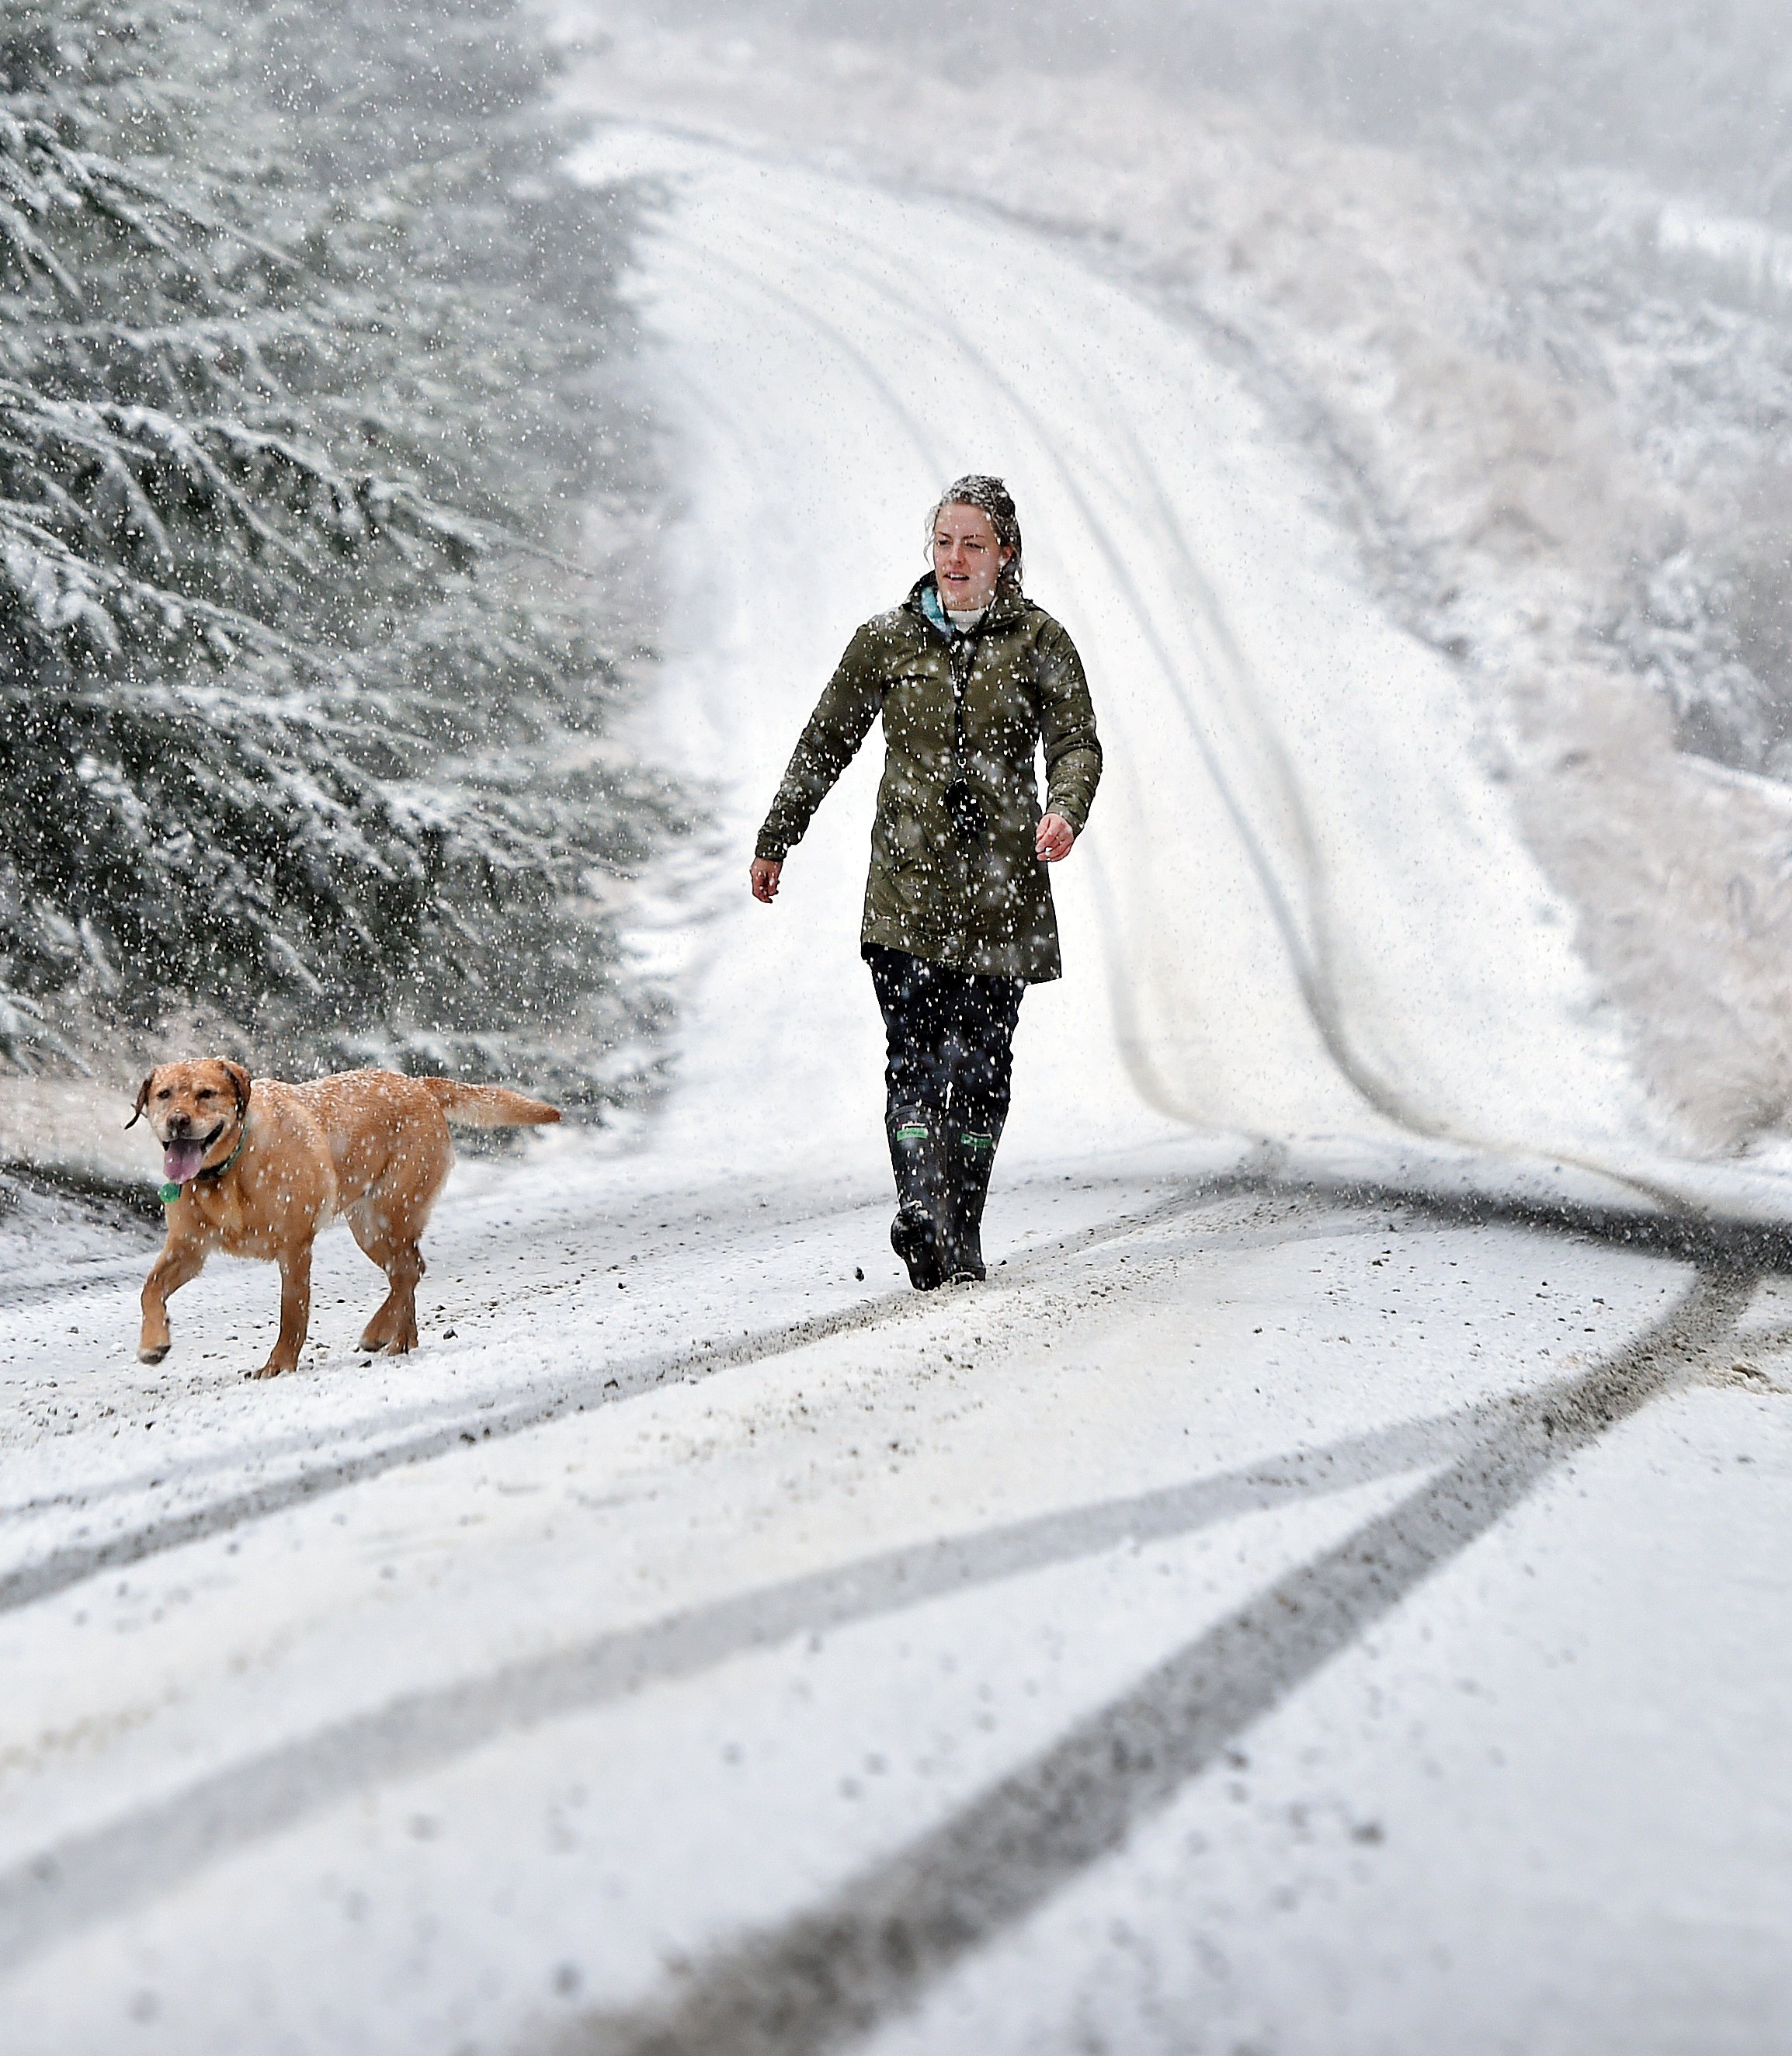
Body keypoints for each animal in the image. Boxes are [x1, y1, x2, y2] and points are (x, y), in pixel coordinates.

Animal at [128, 1061, 558, 1381]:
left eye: (206, 1094)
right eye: (164, 1095)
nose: (178, 1121)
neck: (225, 1173)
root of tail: (417, 1084)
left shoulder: (294, 1247)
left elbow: (292, 1314)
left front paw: (279, 1364)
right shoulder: (188, 1249)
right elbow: (150, 1289)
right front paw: (153, 1343)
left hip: (389, 1212)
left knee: (408, 1271)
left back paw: (377, 1333)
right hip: (369, 1230)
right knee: (409, 1269)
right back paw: (401, 1339)